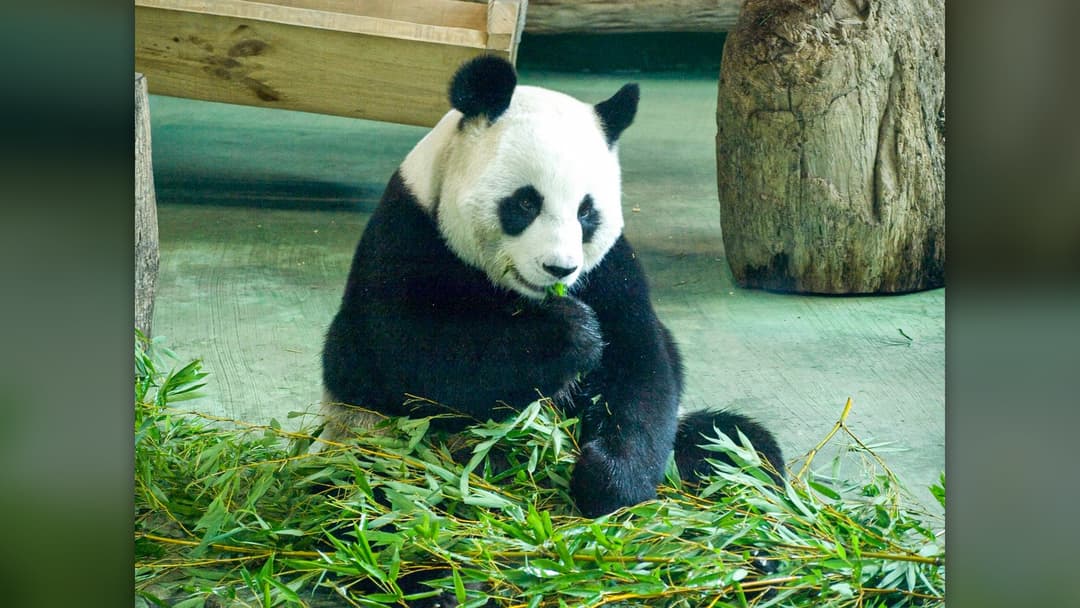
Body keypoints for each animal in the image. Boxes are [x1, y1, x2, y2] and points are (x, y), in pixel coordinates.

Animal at [320, 55, 783, 518]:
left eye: (586, 212)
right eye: (526, 202)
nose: (559, 268)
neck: (520, 295)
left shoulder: (609, 269)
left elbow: (641, 365)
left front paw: (608, 481)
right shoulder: (407, 234)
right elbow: (414, 357)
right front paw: (568, 334)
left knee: (731, 443)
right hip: (370, 444)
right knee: (366, 491)